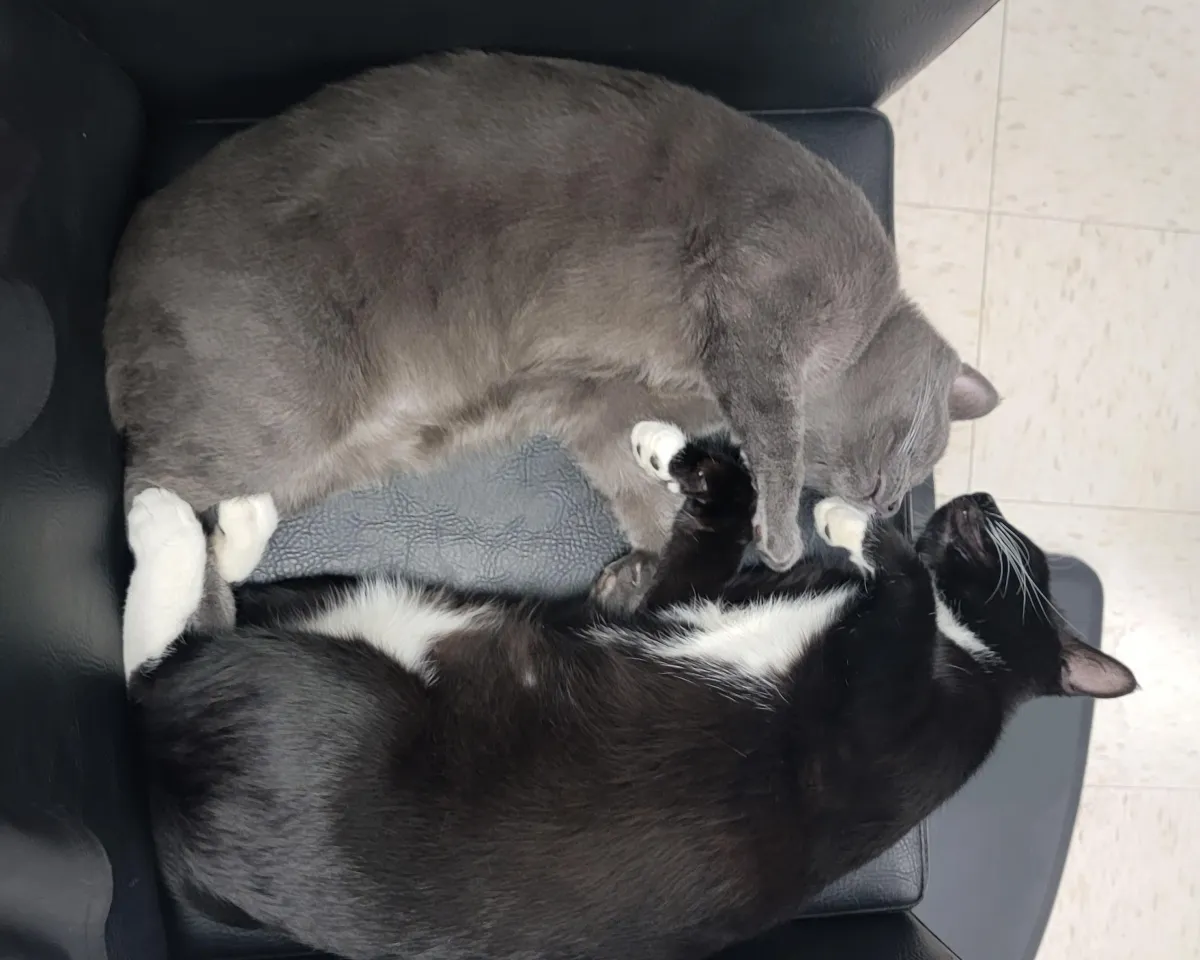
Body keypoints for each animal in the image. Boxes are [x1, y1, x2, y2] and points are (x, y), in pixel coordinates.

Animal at [108, 50, 998, 614]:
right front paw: (777, 537)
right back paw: (195, 610)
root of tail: (121, 267)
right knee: (147, 484)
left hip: (344, 452)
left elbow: (639, 493)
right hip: (290, 406)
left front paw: (642, 570)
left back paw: (234, 544)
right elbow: (775, 428)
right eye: (922, 446)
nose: (887, 504)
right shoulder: (758, 306)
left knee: (209, 501)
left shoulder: (598, 405)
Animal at [126, 424, 1128, 960]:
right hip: (353, 604)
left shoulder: (880, 724)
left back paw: (165, 523)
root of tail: (169, 796)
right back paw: (230, 525)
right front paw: (676, 453)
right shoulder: (673, 603)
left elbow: (907, 586)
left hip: (335, 702)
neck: (969, 654)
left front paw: (856, 521)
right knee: (213, 620)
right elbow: (713, 534)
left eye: (1029, 555)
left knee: (154, 666)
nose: (981, 499)